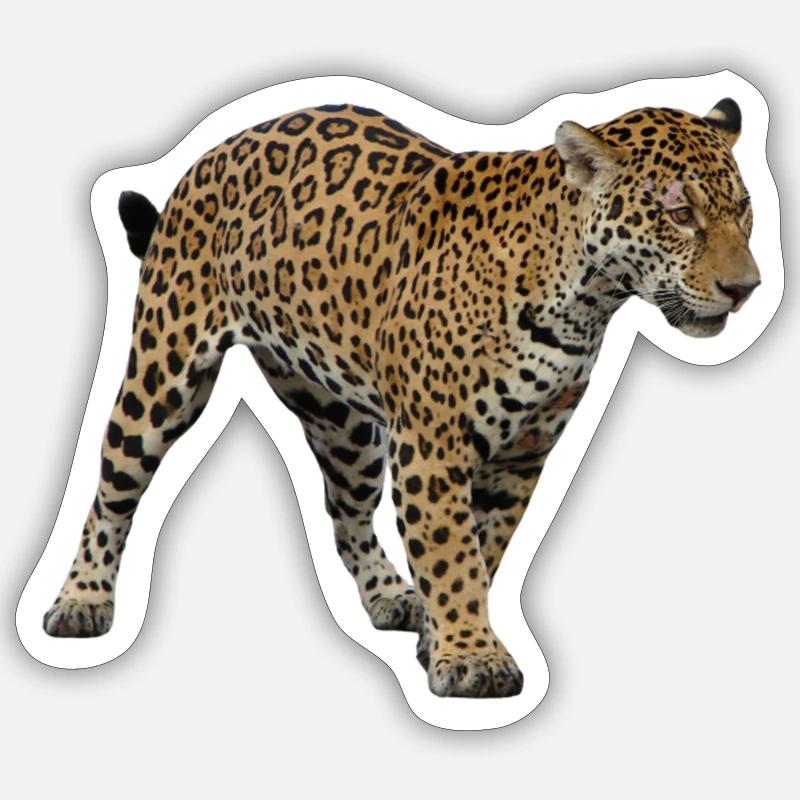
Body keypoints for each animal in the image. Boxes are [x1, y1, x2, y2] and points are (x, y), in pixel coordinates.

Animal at [42, 97, 760, 698]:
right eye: (680, 214)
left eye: (745, 210)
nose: (745, 288)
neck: (585, 301)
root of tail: (207, 158)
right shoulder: (434, 444)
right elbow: (451, 552)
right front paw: (472, 659)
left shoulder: (522, 454)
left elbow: (483, 551)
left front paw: (443, 640)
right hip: (161, 377)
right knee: (111, 490)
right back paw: (81, 600)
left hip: (345, 426)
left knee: (346, 516)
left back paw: (392, 594)